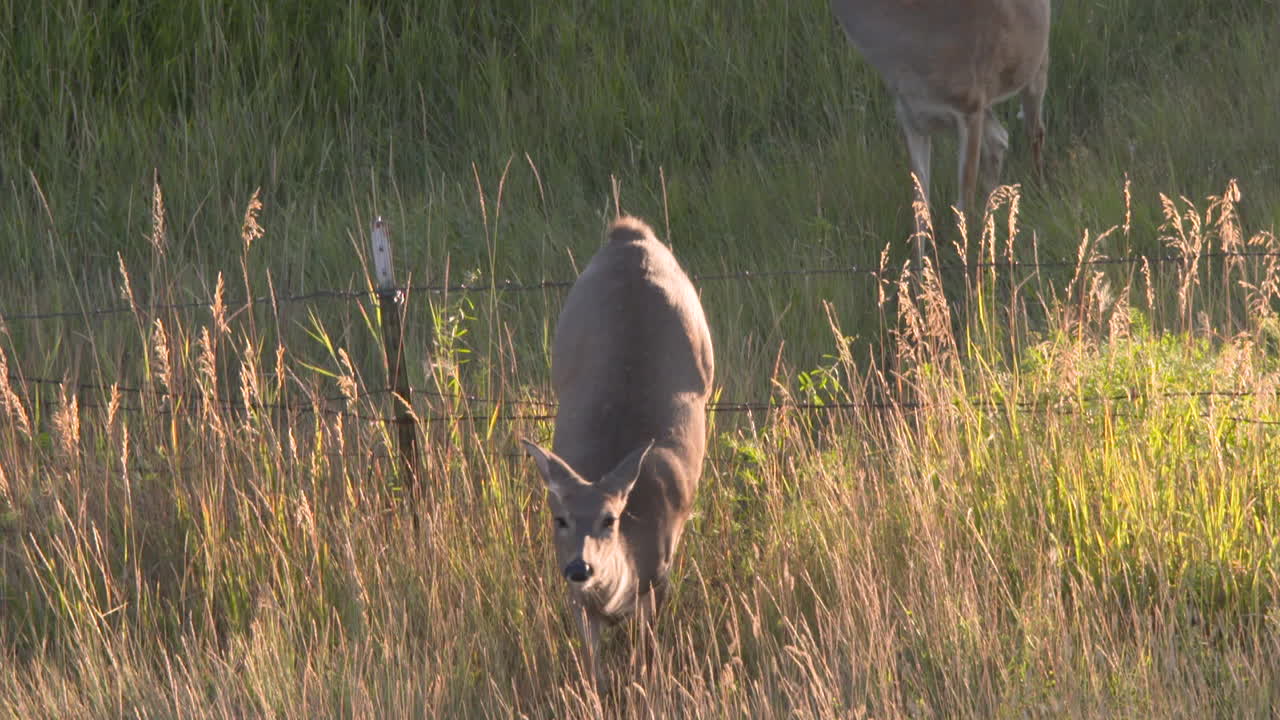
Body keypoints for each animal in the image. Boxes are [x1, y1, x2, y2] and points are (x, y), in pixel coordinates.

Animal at [521, 215, 714, 689]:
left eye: (610, 519)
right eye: (560, 518)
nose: (580, 568)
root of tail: (630, 234)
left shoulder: (659, 577)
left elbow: (645, 657)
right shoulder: (574, 597)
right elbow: (592, 668)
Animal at [830, 0, 1051, 242]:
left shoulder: (968, 106)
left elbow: (963, 208)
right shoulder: (910, 117)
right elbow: (920, 212)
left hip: (1036, 67)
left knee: (1035, 131)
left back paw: (1040, 194)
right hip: (986, 103)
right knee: (999, 138)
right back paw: (990, 219)